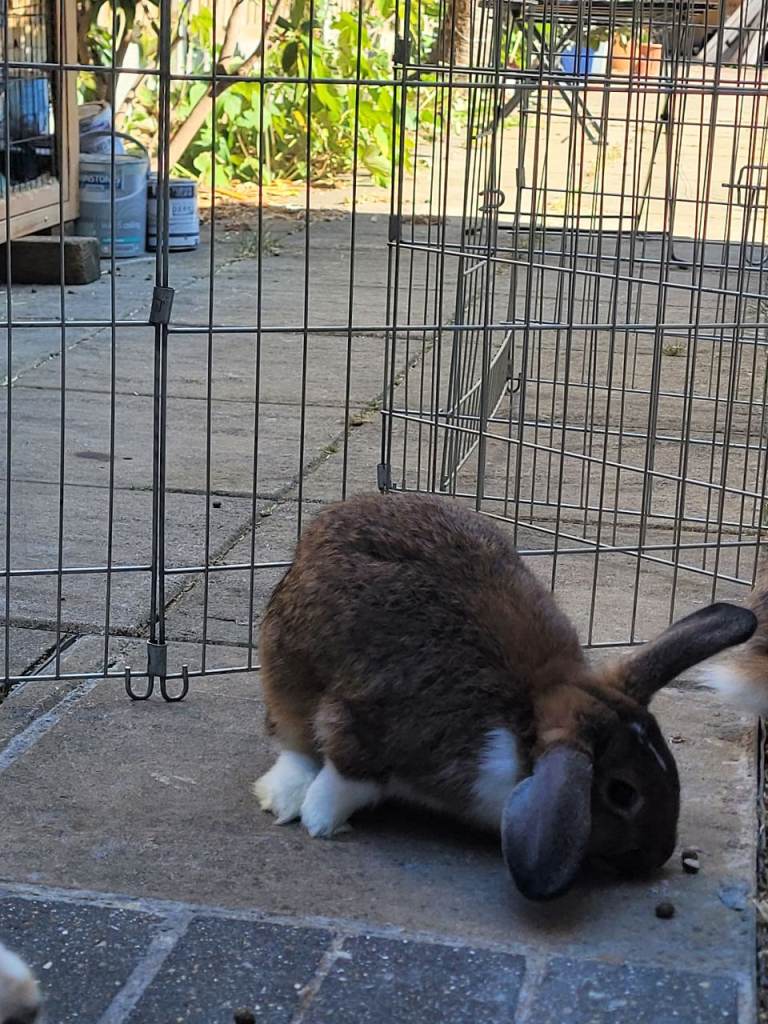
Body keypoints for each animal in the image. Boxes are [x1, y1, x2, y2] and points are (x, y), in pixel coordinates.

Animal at [253, 492, 757, 900]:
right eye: (621, 792)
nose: (659, 855)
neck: (523, 719)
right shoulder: (363, 729)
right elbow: (344, 777)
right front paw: (323, 822)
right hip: (286, 668)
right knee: (294, 741)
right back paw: (287, 799)